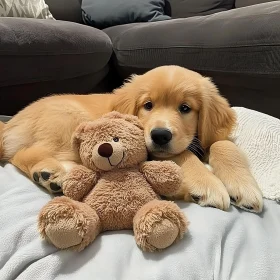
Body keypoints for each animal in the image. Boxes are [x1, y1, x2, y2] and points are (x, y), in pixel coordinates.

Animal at [0, 65, 262, 212]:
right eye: (148, 105)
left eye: (185, 108)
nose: (160, 135)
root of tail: (10, 123)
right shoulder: (152, 151)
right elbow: (182, 154)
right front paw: (207, 184)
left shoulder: (208, 137)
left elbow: (222, 143)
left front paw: (244, 186)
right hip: (69, 120)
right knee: (24, 153)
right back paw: (51, 173)